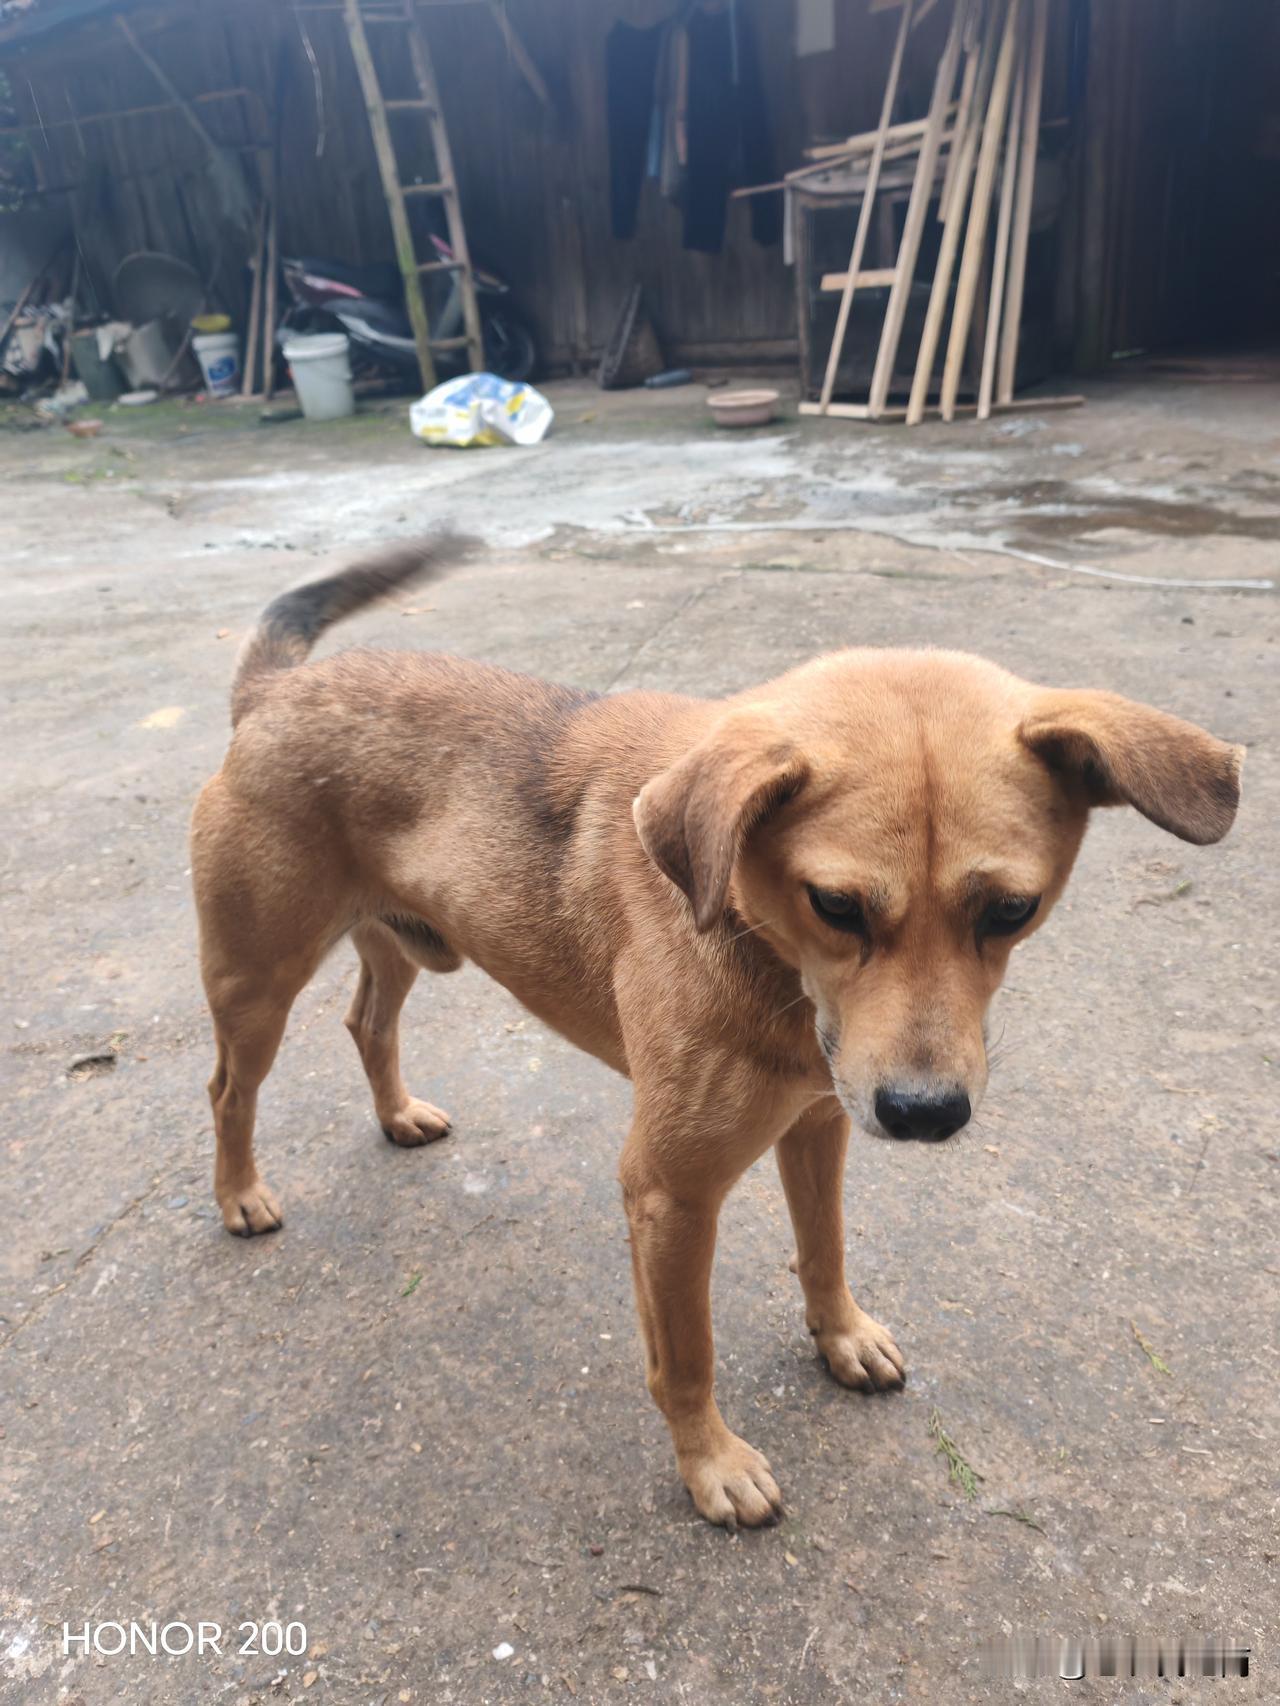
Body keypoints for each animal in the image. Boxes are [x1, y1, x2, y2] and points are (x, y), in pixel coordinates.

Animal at [191, 538, 1242, 1529]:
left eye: (1012, 910)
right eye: (836, 905)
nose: (925, 1115)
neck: (756, 936)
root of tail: (276, 690)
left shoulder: (819, 1123)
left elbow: (824, 1249)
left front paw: (840, 1335)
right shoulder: (670, 1192)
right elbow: (686, 1356)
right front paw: (712, 1466)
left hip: (402, 944)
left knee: (366, 1022)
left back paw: (397, 1113)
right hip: (255, 982)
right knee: (229, 1089)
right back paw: (240, 1195)